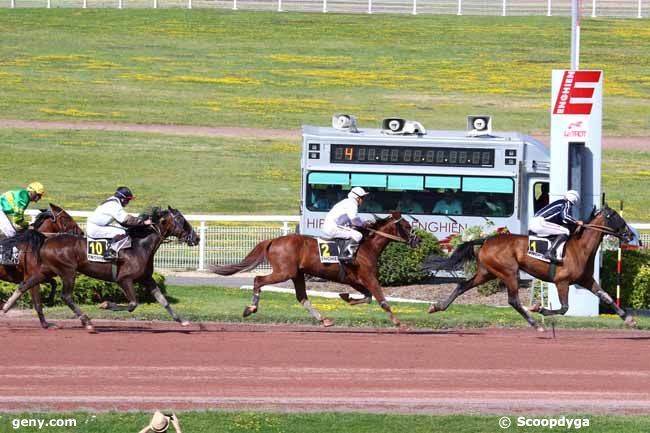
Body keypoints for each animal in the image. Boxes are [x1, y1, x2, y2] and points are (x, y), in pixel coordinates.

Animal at [1, 206, 197, 330]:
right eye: (181, 220)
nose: (196, 238)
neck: (140, 246)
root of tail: (45, 239)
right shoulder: (124, 279)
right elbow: (133, 304)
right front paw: (105, 304)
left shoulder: (146, 279)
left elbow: (163, 301)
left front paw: (182, 321)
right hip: (68, 271)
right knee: (66, 296)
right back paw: (87, 321)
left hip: (45, 270)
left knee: (24, 285)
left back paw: (6, 308)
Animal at [210, 212, 418, 328]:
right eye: (407, 226)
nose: (418, 240)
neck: (366, 247)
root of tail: (274, 240)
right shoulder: (368, 278)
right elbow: (382, 300)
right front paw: (400, 323)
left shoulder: (354, 280)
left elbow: (367, 297)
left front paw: (346, 297)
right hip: (284, 272)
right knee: (258, 280)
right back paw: (250, 308)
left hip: (297, 274)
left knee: (302, 297)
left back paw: (324, 319)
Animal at [420, 204, 632, 330]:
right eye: (616, 217)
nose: (630, 235)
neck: (579, 248)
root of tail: (487, 239)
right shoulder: (561, 281)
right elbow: (564, 308)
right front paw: (540, 308)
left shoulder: (586, 280)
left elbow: (606, 297)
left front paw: (627, 318)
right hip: (509, 272)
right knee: (513, 300)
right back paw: (536, 323)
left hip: (487, 273)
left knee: (462, 285)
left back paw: (437, 306)